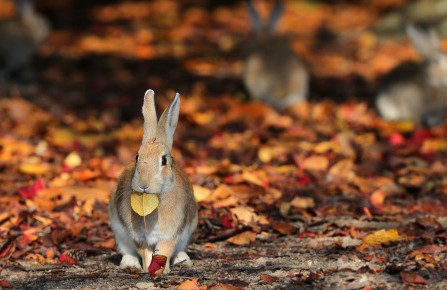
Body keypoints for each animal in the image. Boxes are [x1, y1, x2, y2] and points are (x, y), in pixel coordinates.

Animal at [108, 89, 198, 274]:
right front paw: (147, 269)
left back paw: (183, 260)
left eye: (164, 160)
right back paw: (130, 264)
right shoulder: (140, 237)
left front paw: (163, 271)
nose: (144, 185)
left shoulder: (171, 234)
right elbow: (146, 253)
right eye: (137, 156)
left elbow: (164, 250)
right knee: (127, 251)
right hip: (119, 233)